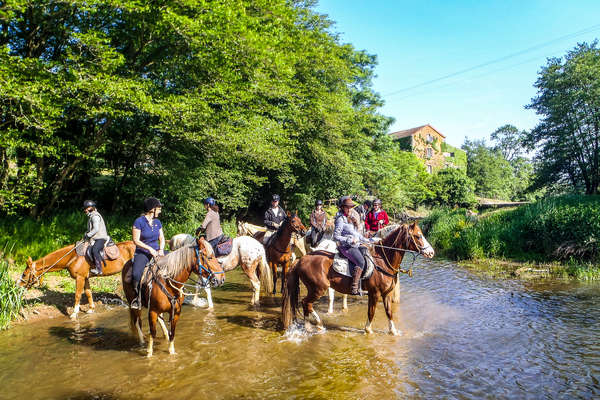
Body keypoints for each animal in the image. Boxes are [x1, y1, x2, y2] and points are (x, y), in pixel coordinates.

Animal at [282, 223, 432, 336]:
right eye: (418, 236)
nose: (431, 252)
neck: (382, 261)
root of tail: (302, 260)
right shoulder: (374, 293)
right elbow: (371, 312)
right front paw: (368, 330)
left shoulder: (386, 294)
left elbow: (389, 312)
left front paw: (393, 331)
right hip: (318, 289)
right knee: (306, 303)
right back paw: (317, 325)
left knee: (306, 304)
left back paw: (310, 326)